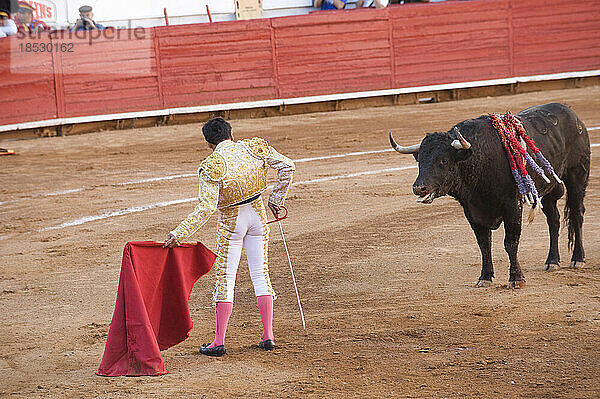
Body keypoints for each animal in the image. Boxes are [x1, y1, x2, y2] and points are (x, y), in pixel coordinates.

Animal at [390, 103, 592, 288]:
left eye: (443, 160)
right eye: (420, 161)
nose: (419, 188)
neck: (479, 161)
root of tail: (573, 115)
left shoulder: (513, 206)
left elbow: (510, 242)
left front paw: (516, 279)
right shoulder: (472, 212)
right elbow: (484, 244)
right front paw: (485, 277)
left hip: (577, 175)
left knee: (577, 214)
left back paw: (578, 259)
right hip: (548, 188)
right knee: (553, 219)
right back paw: (552, 261)